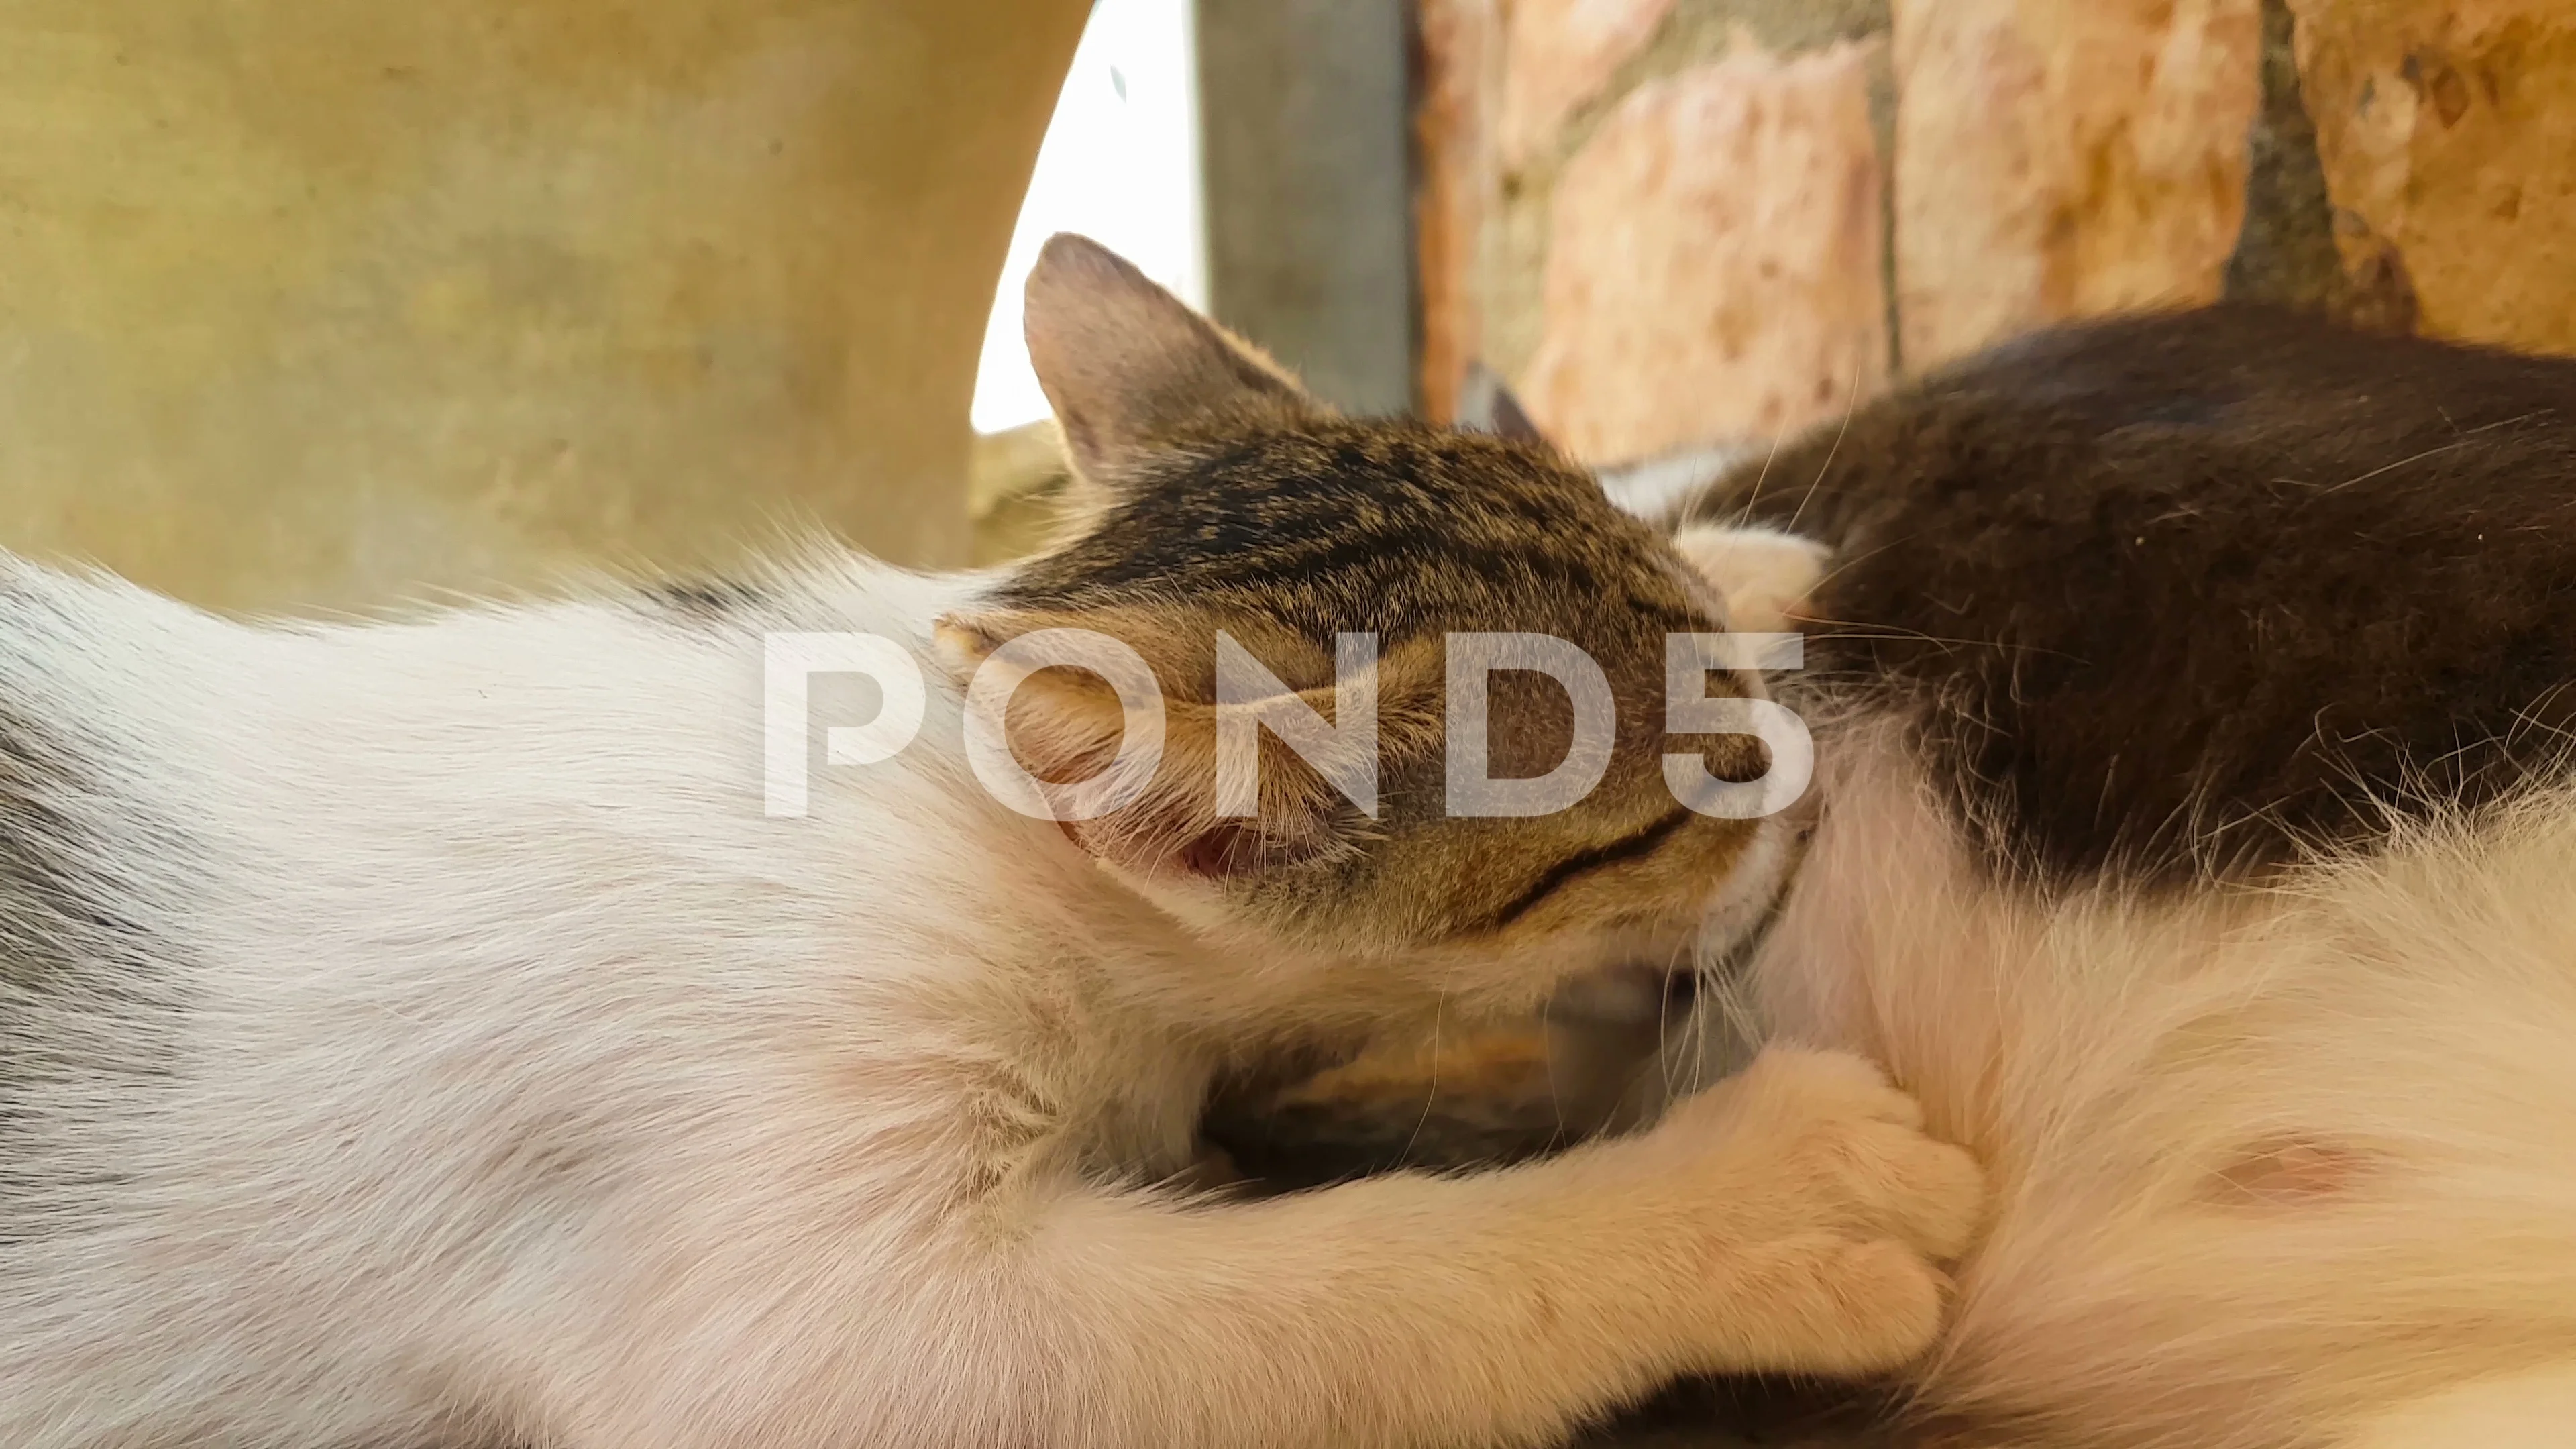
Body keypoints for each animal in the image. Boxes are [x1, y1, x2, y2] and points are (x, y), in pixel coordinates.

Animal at [0, 237, 1978, 1444]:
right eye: (1676, 806)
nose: (1801, 767)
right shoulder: (795, 1315)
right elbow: (1346, 1293)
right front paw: (1752, 1196)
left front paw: (1732, 551)